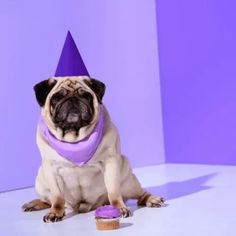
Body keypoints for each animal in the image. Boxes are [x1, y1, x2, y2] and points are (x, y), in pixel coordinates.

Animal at [22, 76, 164, 222]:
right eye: (57, 97)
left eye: (86, 96)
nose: (72, 99)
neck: (74, 139)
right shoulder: (51, 169)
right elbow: (57, 197)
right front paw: (55, 212)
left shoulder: (110, 163)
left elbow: (113, 191)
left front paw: (119, 208)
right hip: (40, 182)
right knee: (48, 200)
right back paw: (34, 204)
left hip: (128, 182)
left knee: (139, 194)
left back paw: (151, 199)